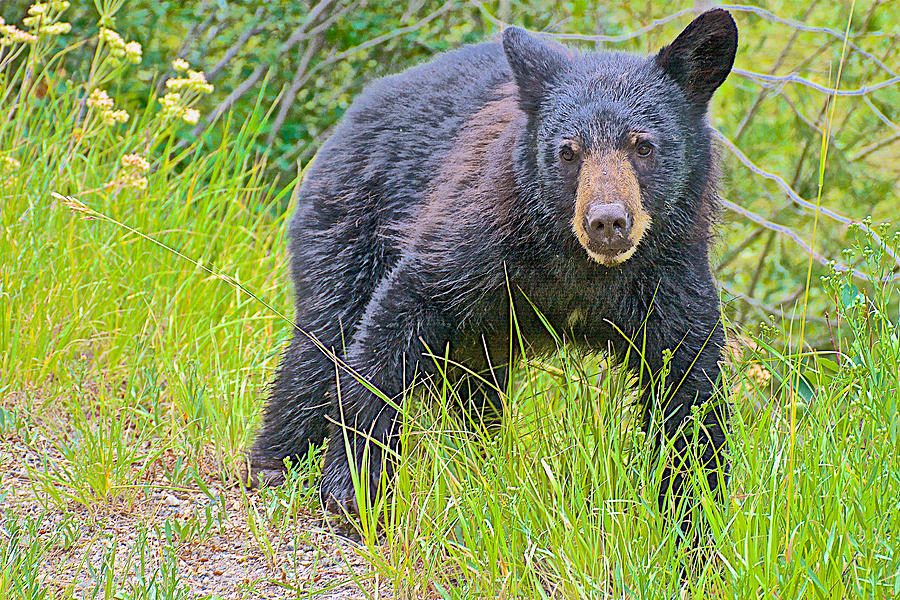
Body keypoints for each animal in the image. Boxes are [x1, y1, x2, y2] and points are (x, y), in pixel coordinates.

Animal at [248, 8, 740, 524]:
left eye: (643, 146)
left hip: (479, 338)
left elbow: (689, 387)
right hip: (350, 219)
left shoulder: (669, 274)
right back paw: (274, 462)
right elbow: (396, 319)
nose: (607, 221)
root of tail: (356, 109)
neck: (580, 268)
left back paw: (477, 461)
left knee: (473, 393)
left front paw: (695, 518)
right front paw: (353, 485)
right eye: (568, 151)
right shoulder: (480, 236)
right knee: (323, 335)